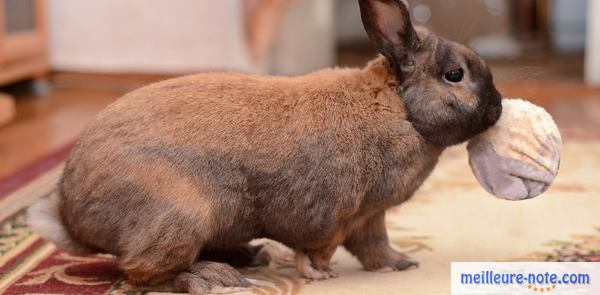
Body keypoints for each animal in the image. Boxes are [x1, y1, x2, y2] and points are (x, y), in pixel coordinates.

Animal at [29, 0, 502, 294]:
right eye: (455, 75)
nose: (498, 107)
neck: (398, 108)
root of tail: (71, 215)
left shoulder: (370, 216)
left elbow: (375, 247)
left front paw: (402, 264)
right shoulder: (336, 217)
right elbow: (320, 248)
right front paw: (320, 275)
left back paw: (249, 257)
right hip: (179, 216)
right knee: (143, 274)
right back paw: (212, 278)